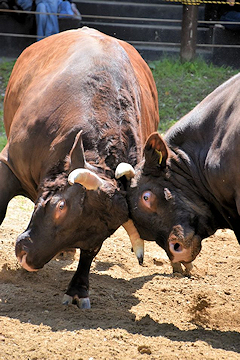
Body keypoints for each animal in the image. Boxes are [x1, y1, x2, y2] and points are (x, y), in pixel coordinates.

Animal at [1, 28, 159, 308]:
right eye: (60, 207)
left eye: (97, 235)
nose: (28, 259)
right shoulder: (9, 163)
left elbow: (88, 255)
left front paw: (78, 289)